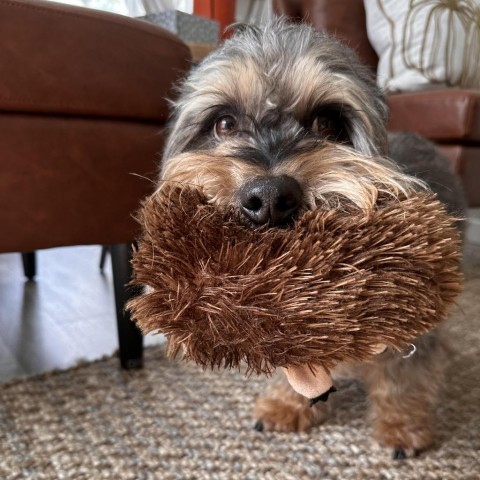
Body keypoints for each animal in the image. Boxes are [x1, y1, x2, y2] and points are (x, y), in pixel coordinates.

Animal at [155, 20, 464, 460]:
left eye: (327, 123)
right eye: (225, 124)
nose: (269, 197)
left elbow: (402, 376)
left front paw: (403, 426)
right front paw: (287, 404)